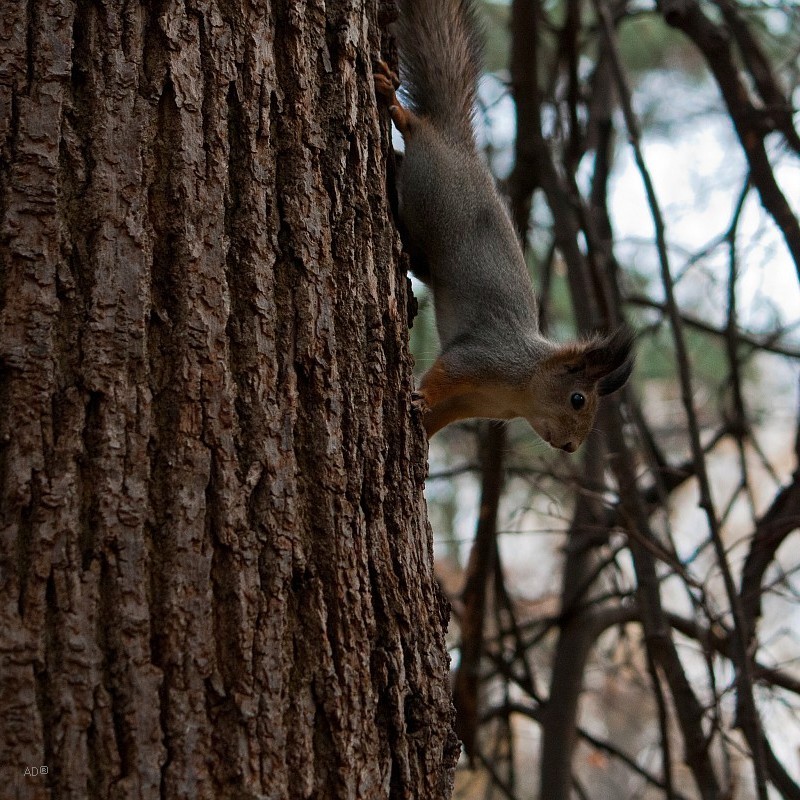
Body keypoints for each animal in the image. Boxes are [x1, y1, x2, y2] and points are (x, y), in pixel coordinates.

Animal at [374, 0, 632, 450]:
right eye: (578, 399)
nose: (571, 446)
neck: (520, 386)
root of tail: (459, 144)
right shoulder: (480, 359)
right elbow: (444, 373)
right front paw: (420, 397)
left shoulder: (471, 403)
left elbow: (440, 416)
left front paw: (423, 433)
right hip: (430, 183)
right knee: (418, 129)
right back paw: (397, 104)